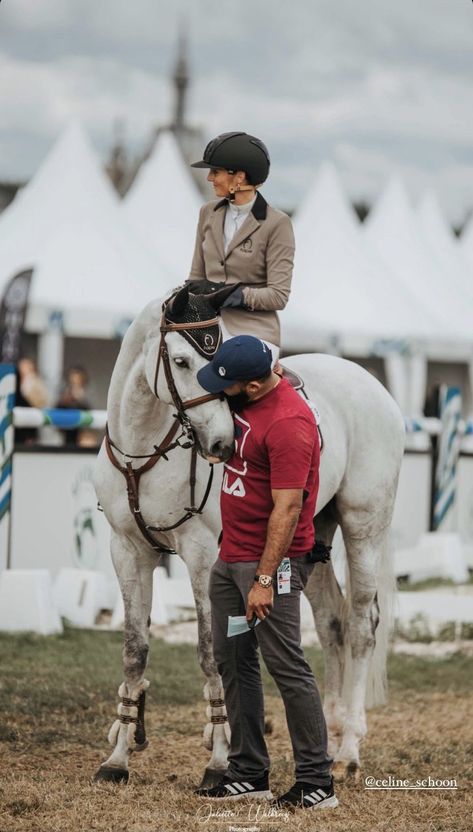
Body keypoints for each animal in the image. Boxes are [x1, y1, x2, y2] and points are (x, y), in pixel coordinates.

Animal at [93, 286, 406, 788]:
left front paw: (219, 759)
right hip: (309, 536)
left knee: (360, 626)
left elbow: (209, 651)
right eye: (181, 361)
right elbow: (134, 651)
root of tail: (371, 384)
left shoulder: (202, 555)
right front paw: (118, 757)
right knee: (332, 622)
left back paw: (349, 750)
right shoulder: (127, 550)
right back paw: (330, 740)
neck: (145, 452)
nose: (222, 443)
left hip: (364, 526)